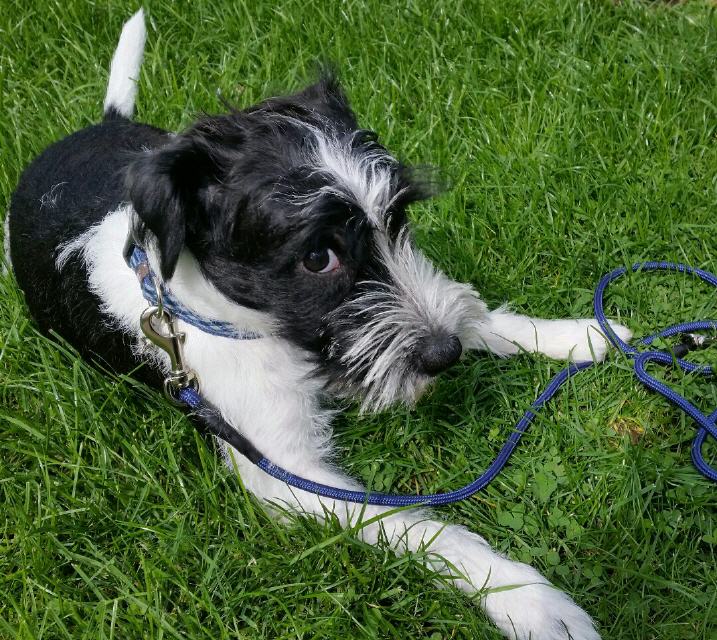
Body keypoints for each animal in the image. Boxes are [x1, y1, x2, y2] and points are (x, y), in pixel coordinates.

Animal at [6, 11, 632, 640]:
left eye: (398, 220)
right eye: (316, 258)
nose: (444, 354)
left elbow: (475, 313)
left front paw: (576, 334)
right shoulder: (288, 476)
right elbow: (418, 525)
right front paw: (527, 599)